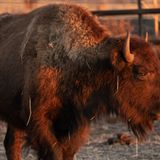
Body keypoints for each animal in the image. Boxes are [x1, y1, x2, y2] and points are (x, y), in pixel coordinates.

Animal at [0, 3, 160, 160]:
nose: (158, 111)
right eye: (141, 72)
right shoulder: (37, 119)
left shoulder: (77, 123)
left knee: (11, 144)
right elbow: (54, 152)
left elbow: (67, 151)